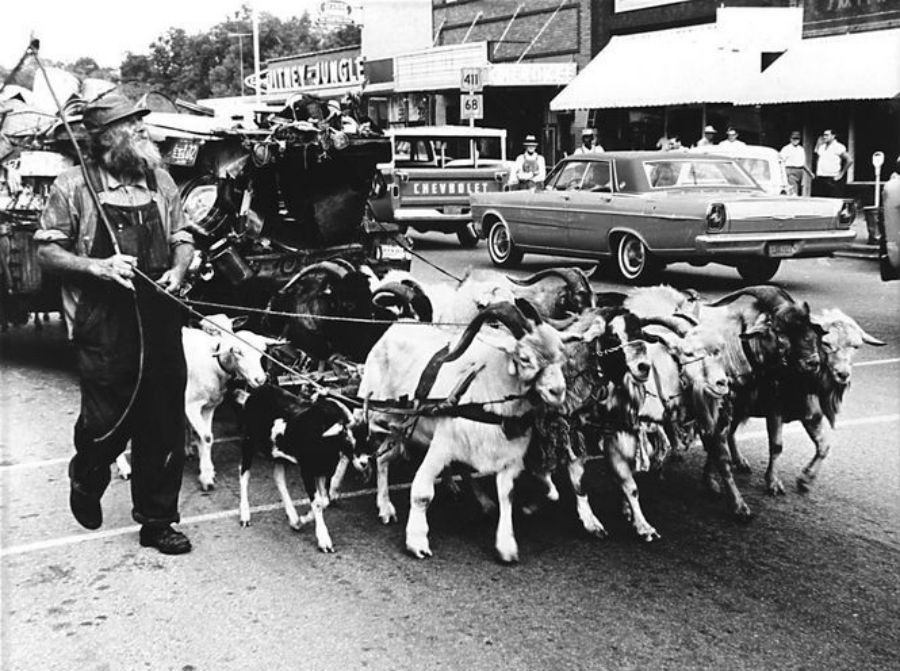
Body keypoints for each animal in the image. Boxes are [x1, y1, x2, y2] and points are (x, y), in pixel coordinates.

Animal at [356, 300, 564, 560]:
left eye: (562, 356)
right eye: (525, 358)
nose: (558, 391)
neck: (484, 396)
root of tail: (396, 325)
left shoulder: (510, 459)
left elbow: (507, 495)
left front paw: (506, 547)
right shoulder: (441, 447)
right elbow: (422, 494)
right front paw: (417, 543)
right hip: (387, 419)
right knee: (382, 459)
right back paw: (386, 508)